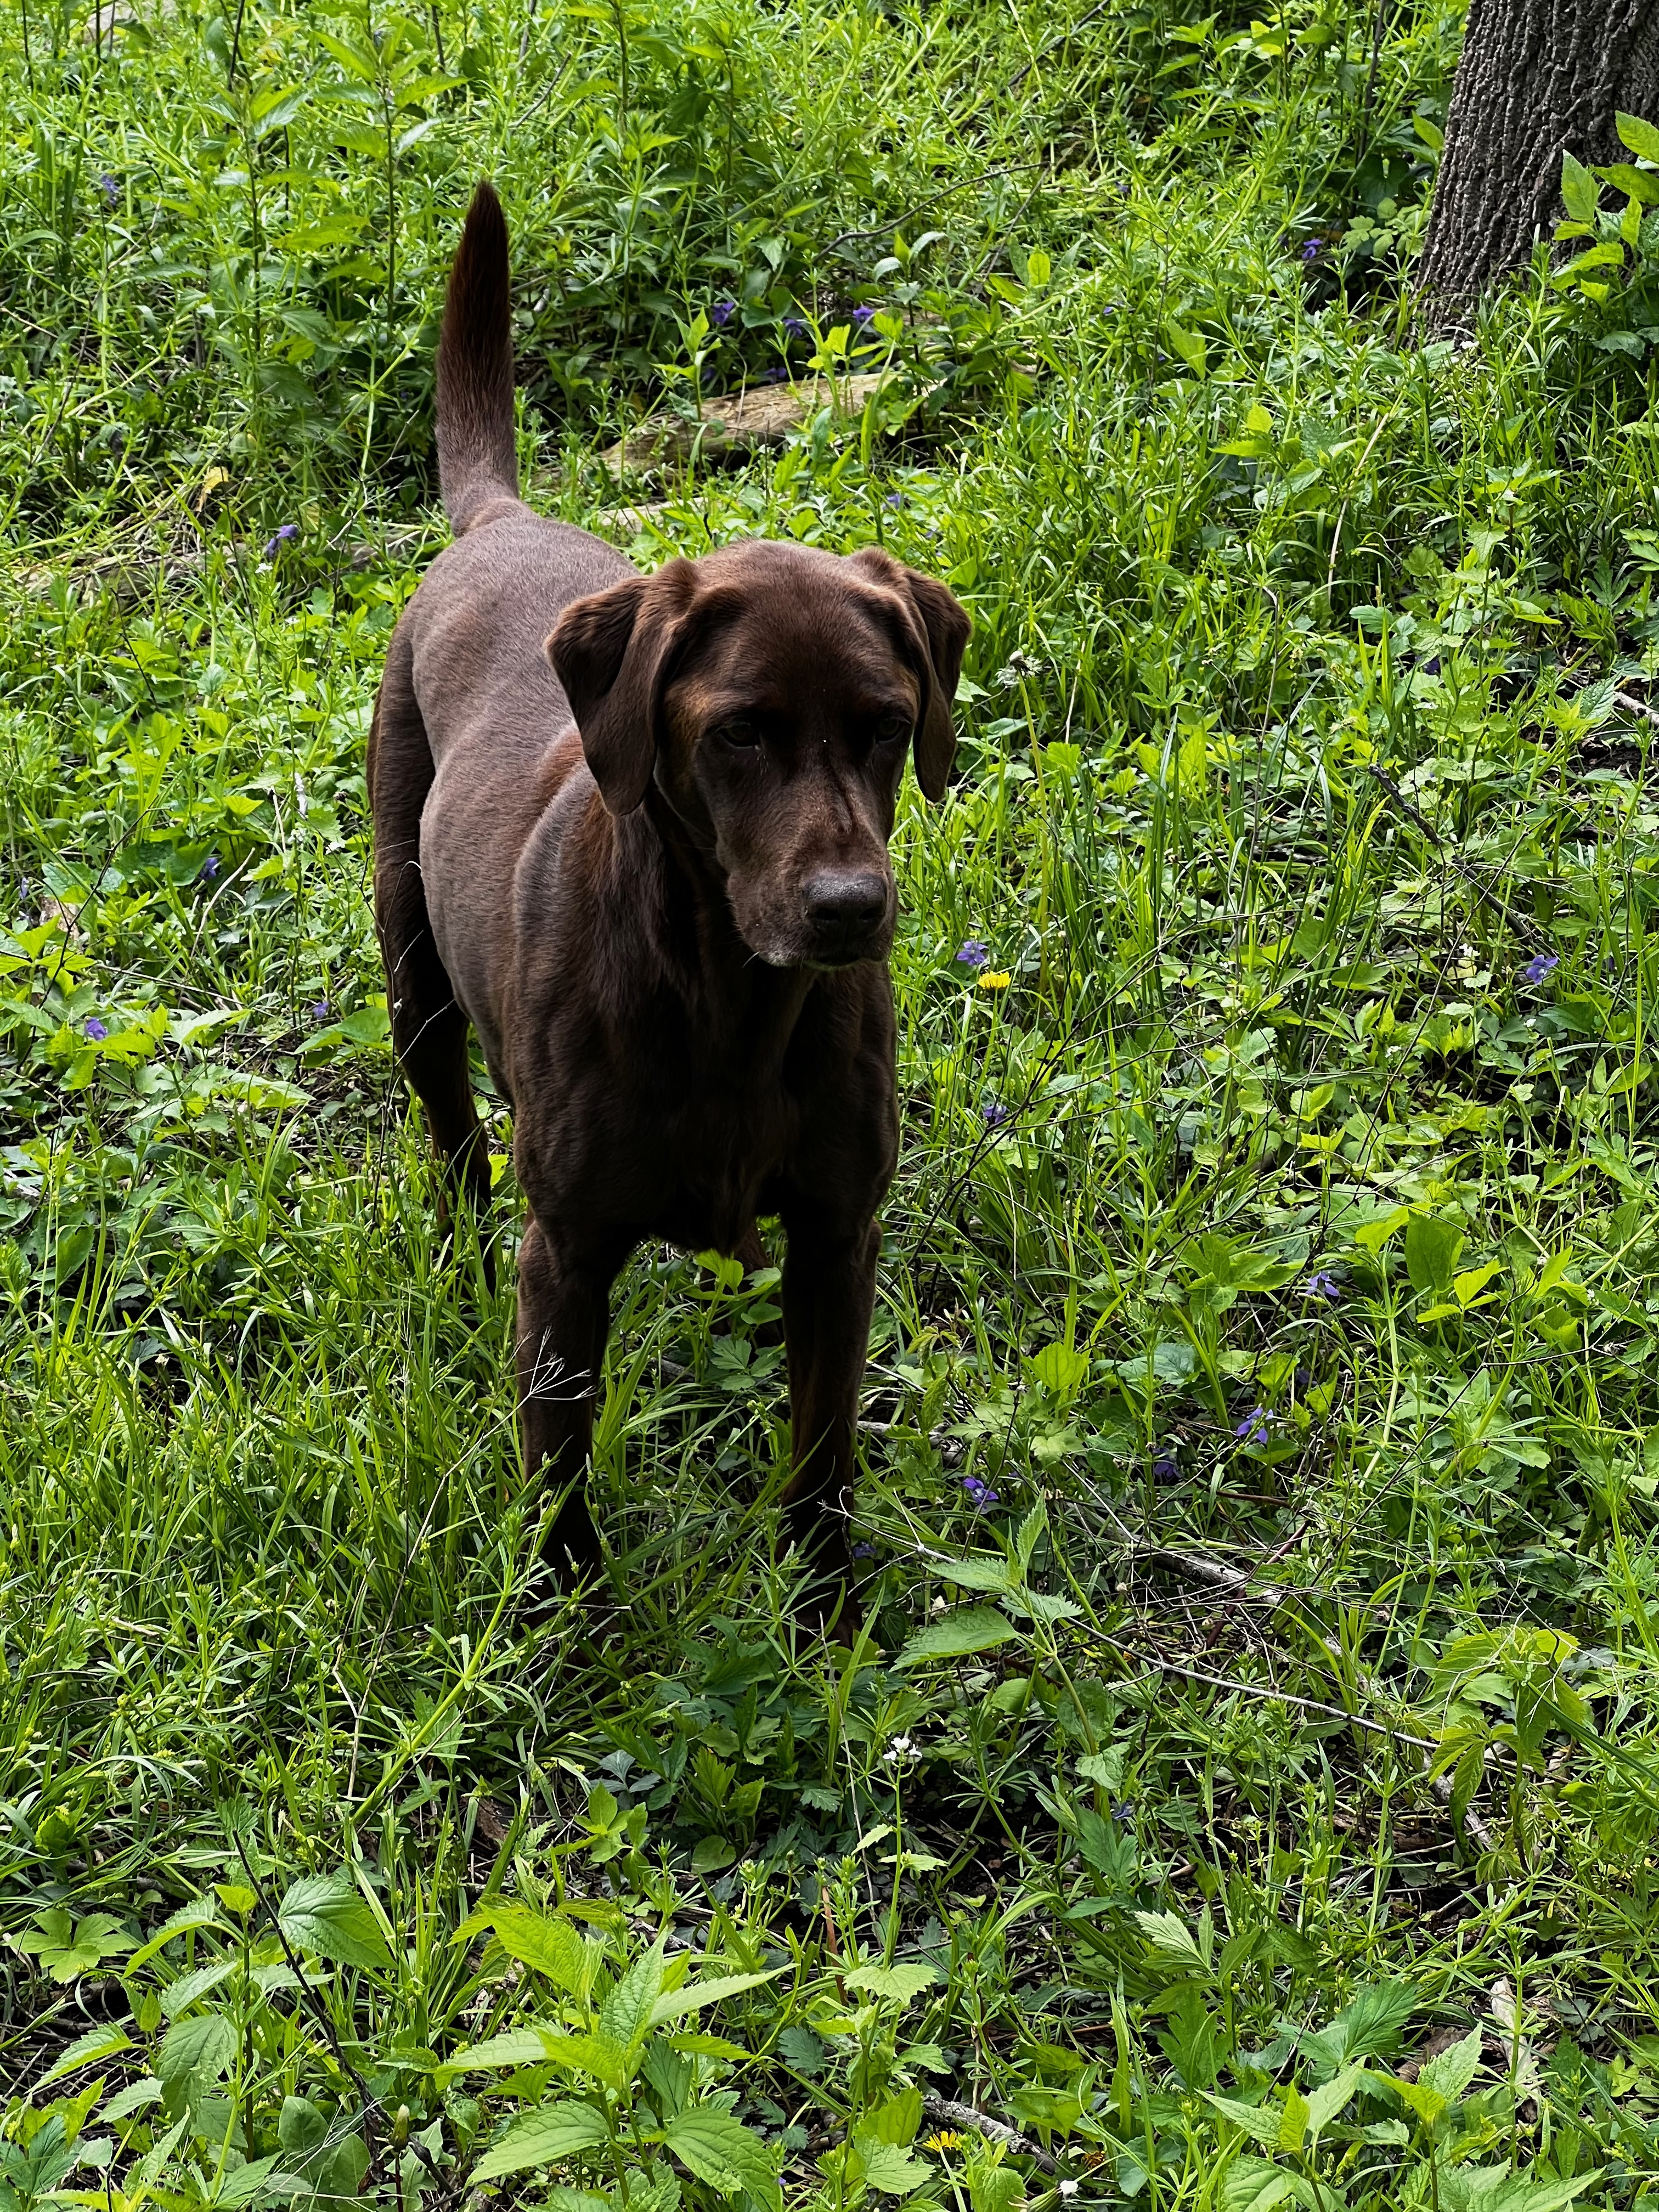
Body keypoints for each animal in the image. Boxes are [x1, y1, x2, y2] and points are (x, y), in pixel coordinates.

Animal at [363, 185, 960, 1628]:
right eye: (738, 732)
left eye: (887, 723)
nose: (850, 908)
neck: (729, 1000)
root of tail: (499, 523)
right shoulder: (569, 1254)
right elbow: (557, 1465)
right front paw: (562, 1625)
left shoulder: (838, 1235)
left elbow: (823, 1448)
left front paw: (822, 1619)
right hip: (411, 969)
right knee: (452, 1142)